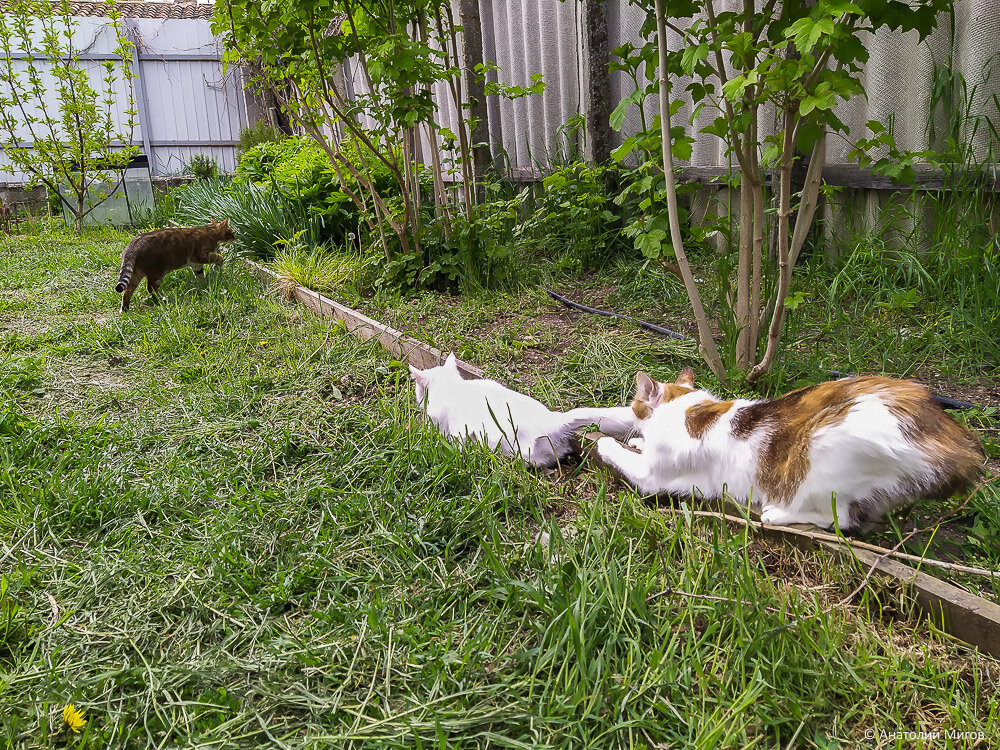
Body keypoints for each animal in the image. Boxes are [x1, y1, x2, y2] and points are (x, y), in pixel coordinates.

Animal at [592, 368, 984, 532]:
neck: (689, 409)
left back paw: (776, 514)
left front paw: (605, 440)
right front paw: (637, 440)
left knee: (843, 520)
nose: (634, 412)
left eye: (635, 403)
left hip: (826, 452)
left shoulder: (653, 477)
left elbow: (614, 450)